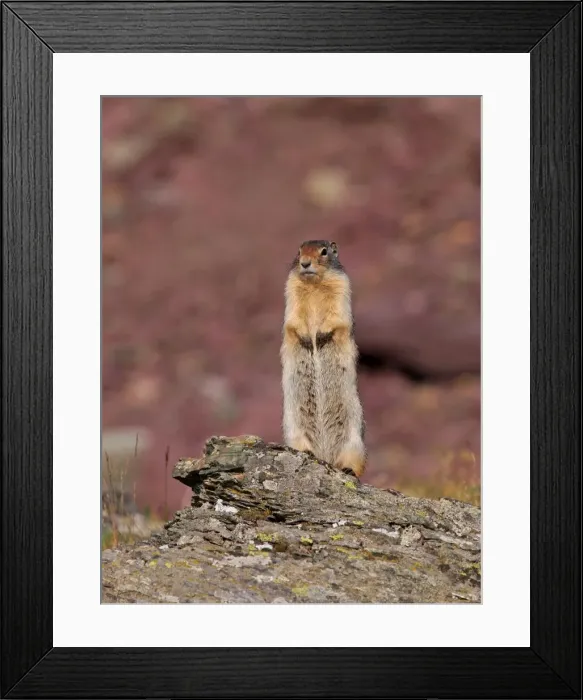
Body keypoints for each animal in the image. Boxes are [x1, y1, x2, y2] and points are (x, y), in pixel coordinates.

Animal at [280, 240, 366, 478]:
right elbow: (292, 320)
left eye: (324, 251)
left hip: (355, 441)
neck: (314, 285)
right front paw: (307, 339)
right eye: (298, 251)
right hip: (294, 430)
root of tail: (325, 457)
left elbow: (337, 317)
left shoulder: (342, 288)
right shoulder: (291, 291)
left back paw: (348, 470)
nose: (304, 263)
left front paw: (319, 337)